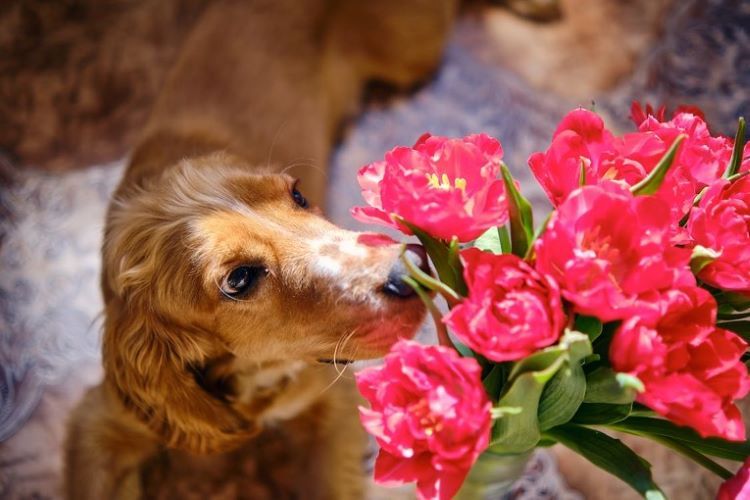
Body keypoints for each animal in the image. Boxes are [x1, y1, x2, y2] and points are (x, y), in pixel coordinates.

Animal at [66, 1, 458, 498]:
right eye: (239, 279)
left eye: (298, 194)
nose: (412, 270)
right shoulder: (101, 421)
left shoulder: (330, 398)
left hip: (411, 49)